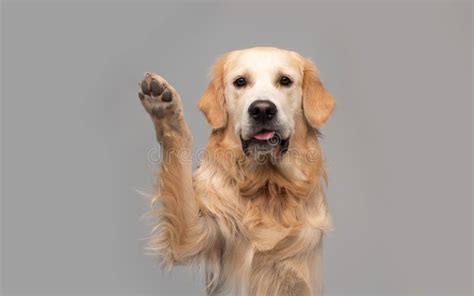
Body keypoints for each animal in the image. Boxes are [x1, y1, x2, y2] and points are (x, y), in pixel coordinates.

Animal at [138, 47, 334, 294]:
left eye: (285, 80)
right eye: (240, 81)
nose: (262, 110)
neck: (267, 185)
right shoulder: (197, 235)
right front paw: (164, 109)